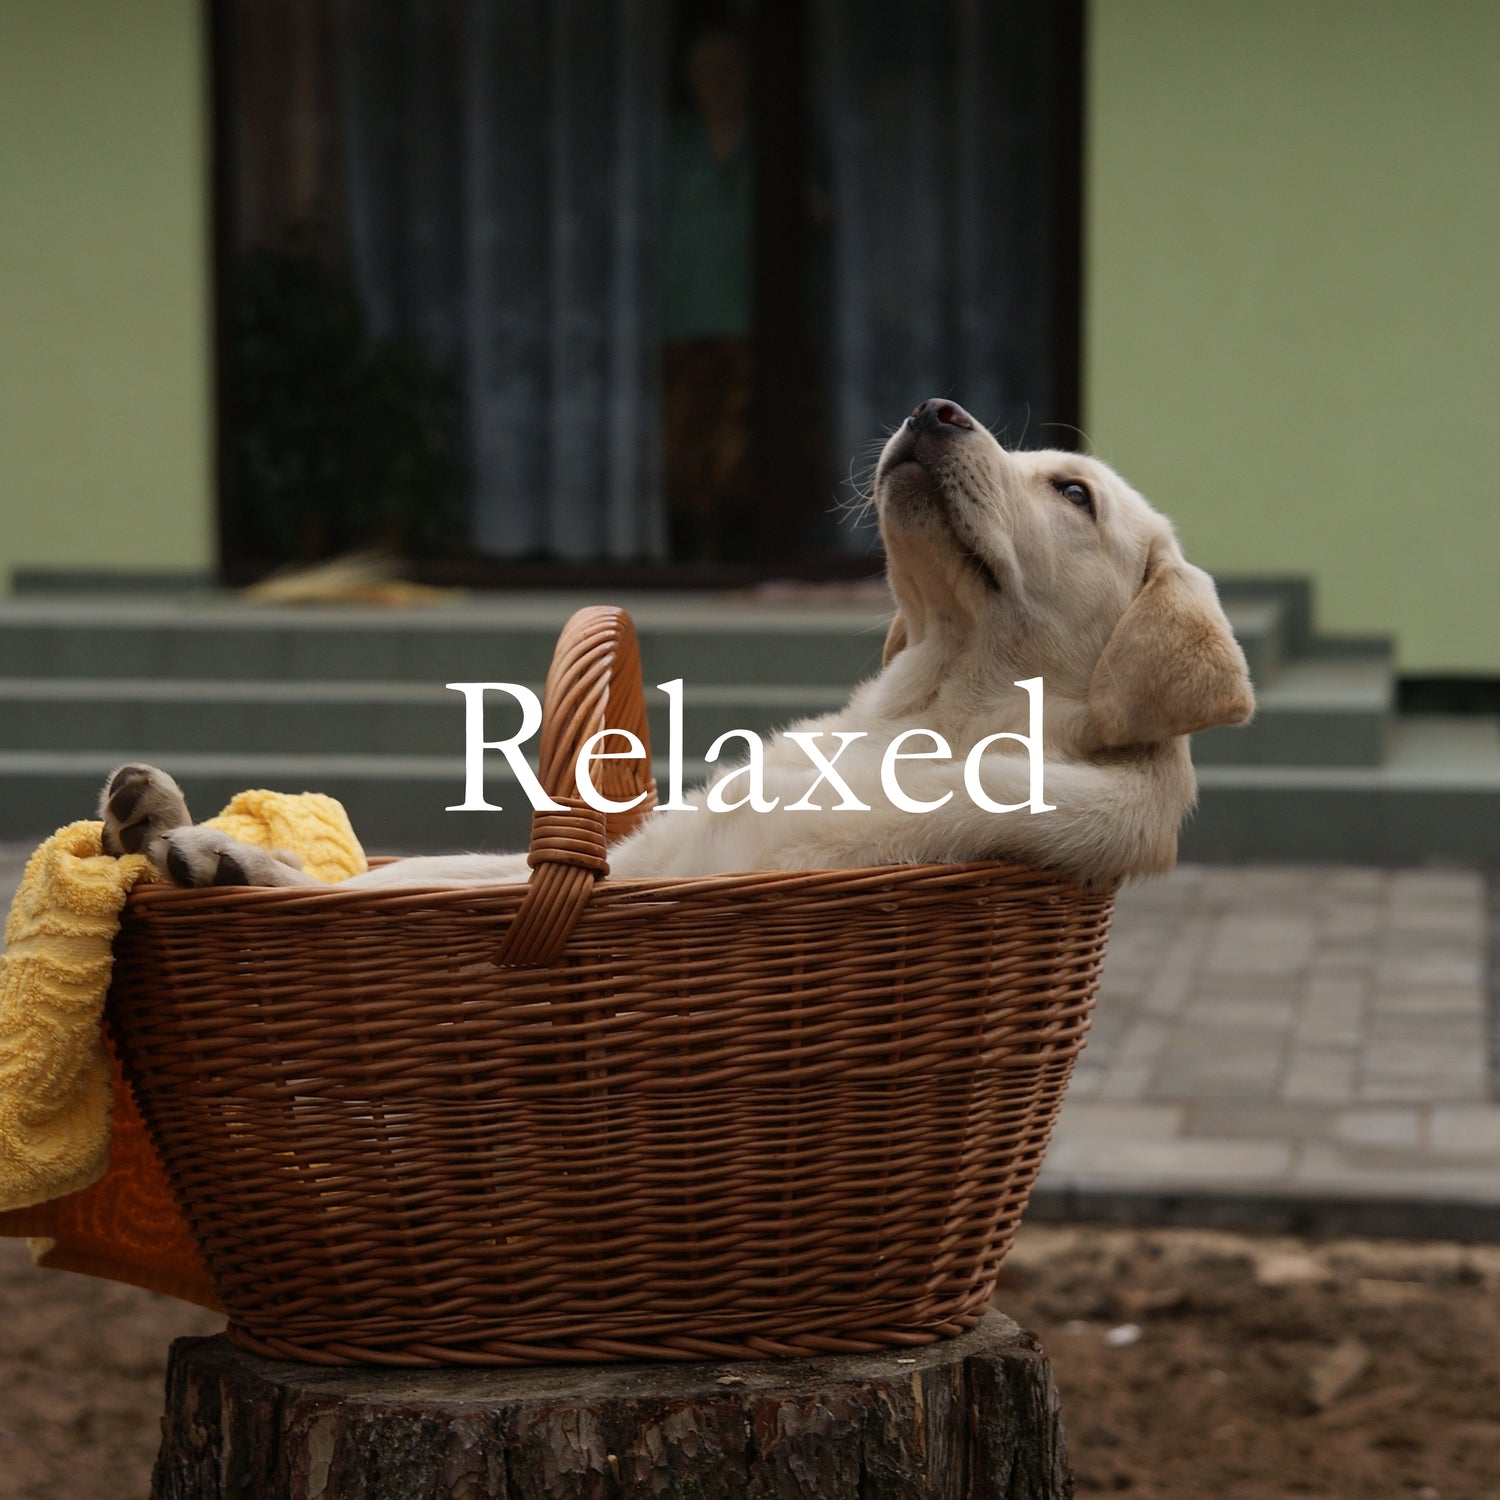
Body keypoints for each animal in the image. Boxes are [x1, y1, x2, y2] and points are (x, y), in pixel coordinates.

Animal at [102, 399, 1254, 888]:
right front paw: (217, 845)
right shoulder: (634, 859)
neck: (921, 716)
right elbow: (398, 880)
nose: (936, 407)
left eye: (1074, 493)